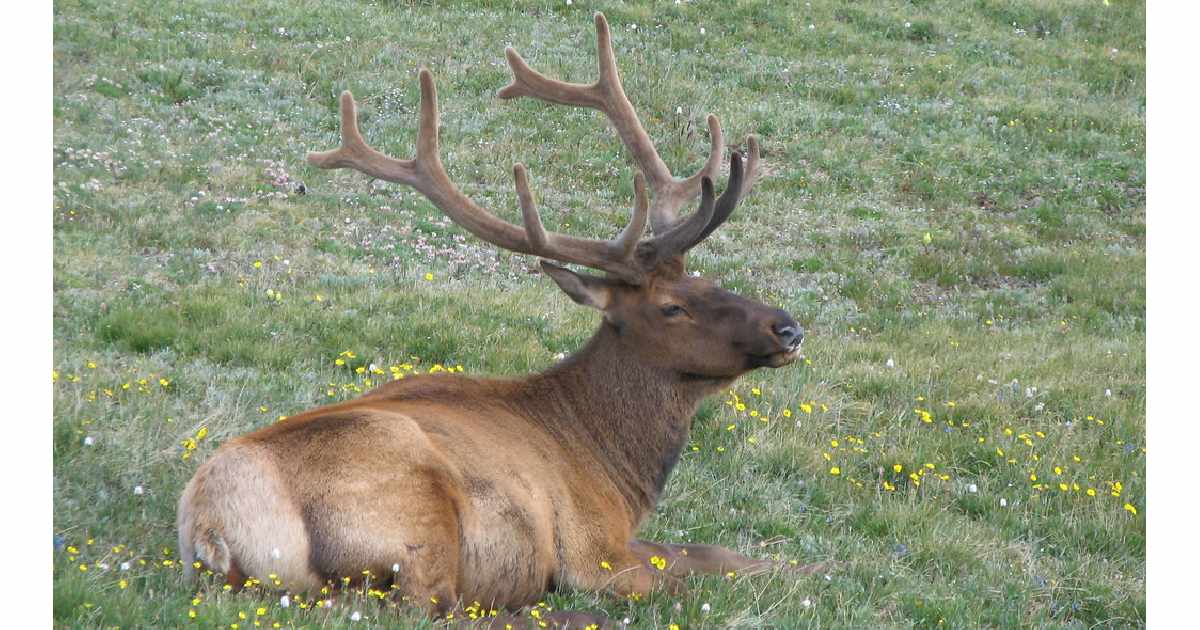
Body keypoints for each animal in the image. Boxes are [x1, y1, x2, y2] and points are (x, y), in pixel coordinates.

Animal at [177, 12, 811, 624]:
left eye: (707, 279)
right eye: (672, 307)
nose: (788, 328)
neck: (615, 469)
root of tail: (211, 527)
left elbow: (714, 551)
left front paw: (804, 567)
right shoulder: (595, 549)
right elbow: (682, 575)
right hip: (415, 515)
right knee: (434, 609)